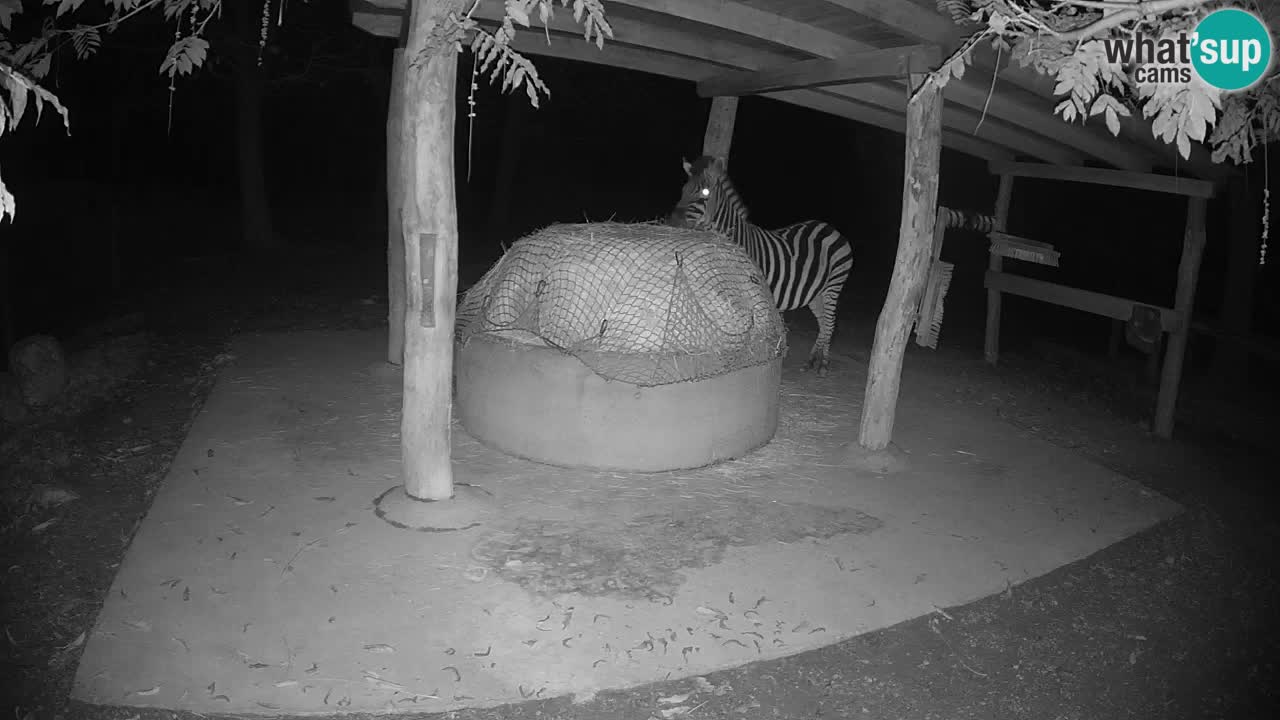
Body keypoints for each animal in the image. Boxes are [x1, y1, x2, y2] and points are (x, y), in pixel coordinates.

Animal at [667, 155, 855, 377]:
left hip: (834, 285)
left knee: (830, 322)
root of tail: (830, 227)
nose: (672, 222)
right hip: (816, 293)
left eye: (705, 192)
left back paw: (823, 364)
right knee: (823, 322)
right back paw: (811, 361)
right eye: (684, 189)